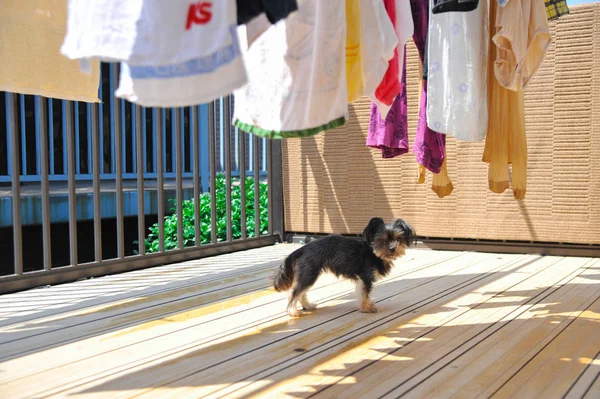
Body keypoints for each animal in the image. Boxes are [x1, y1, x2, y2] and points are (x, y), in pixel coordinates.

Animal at [274, 217, 414, 318]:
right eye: (382, 240)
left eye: (398, 238)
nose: (392, 249)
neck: (373, 252)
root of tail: (303, 248)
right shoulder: (366, 277)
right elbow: (365, 294)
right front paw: (366, 308)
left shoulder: (362, 279)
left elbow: (363, 294)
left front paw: (367, 305)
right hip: (310, 274)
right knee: (294, 292)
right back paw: (292, 311)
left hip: (309, 274)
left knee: (301, 292)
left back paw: (308, 306)